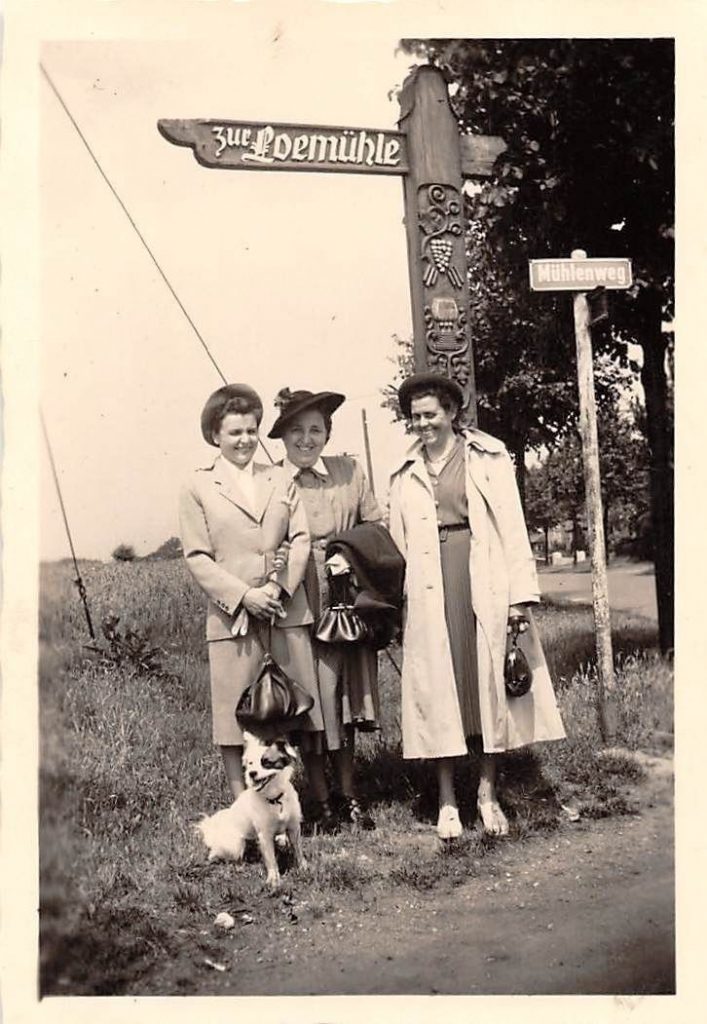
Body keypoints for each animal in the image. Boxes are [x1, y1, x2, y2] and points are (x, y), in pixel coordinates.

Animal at [195, 729, 303, 888]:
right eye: (250, 764)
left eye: (266, 763)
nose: (252, 773)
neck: (275, 800)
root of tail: (212, 832)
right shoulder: (264, 835)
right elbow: (271, 860)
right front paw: (274, 880)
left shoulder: (294, 827)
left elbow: (298, 851)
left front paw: (303, 868)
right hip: (235, 845)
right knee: (216, 853)